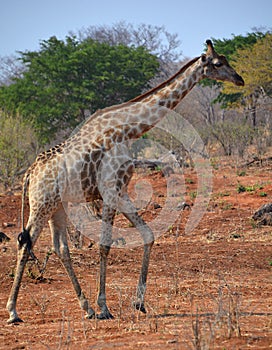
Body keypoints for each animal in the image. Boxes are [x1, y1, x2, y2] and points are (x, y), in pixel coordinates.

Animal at [6, 39, 244, 322]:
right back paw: (13, 311)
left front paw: (138, 302)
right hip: (41, 204)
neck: (128, 130)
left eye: (227, 59)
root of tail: (30, 173)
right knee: (25, 242)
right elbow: (105, 244)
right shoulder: (110, 190)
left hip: (58, 207)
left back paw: (85, 308)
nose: (239, 79)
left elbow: (148, 234)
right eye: (218, 63)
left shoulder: (122, 191)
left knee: (60, 247)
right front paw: (105, 307)